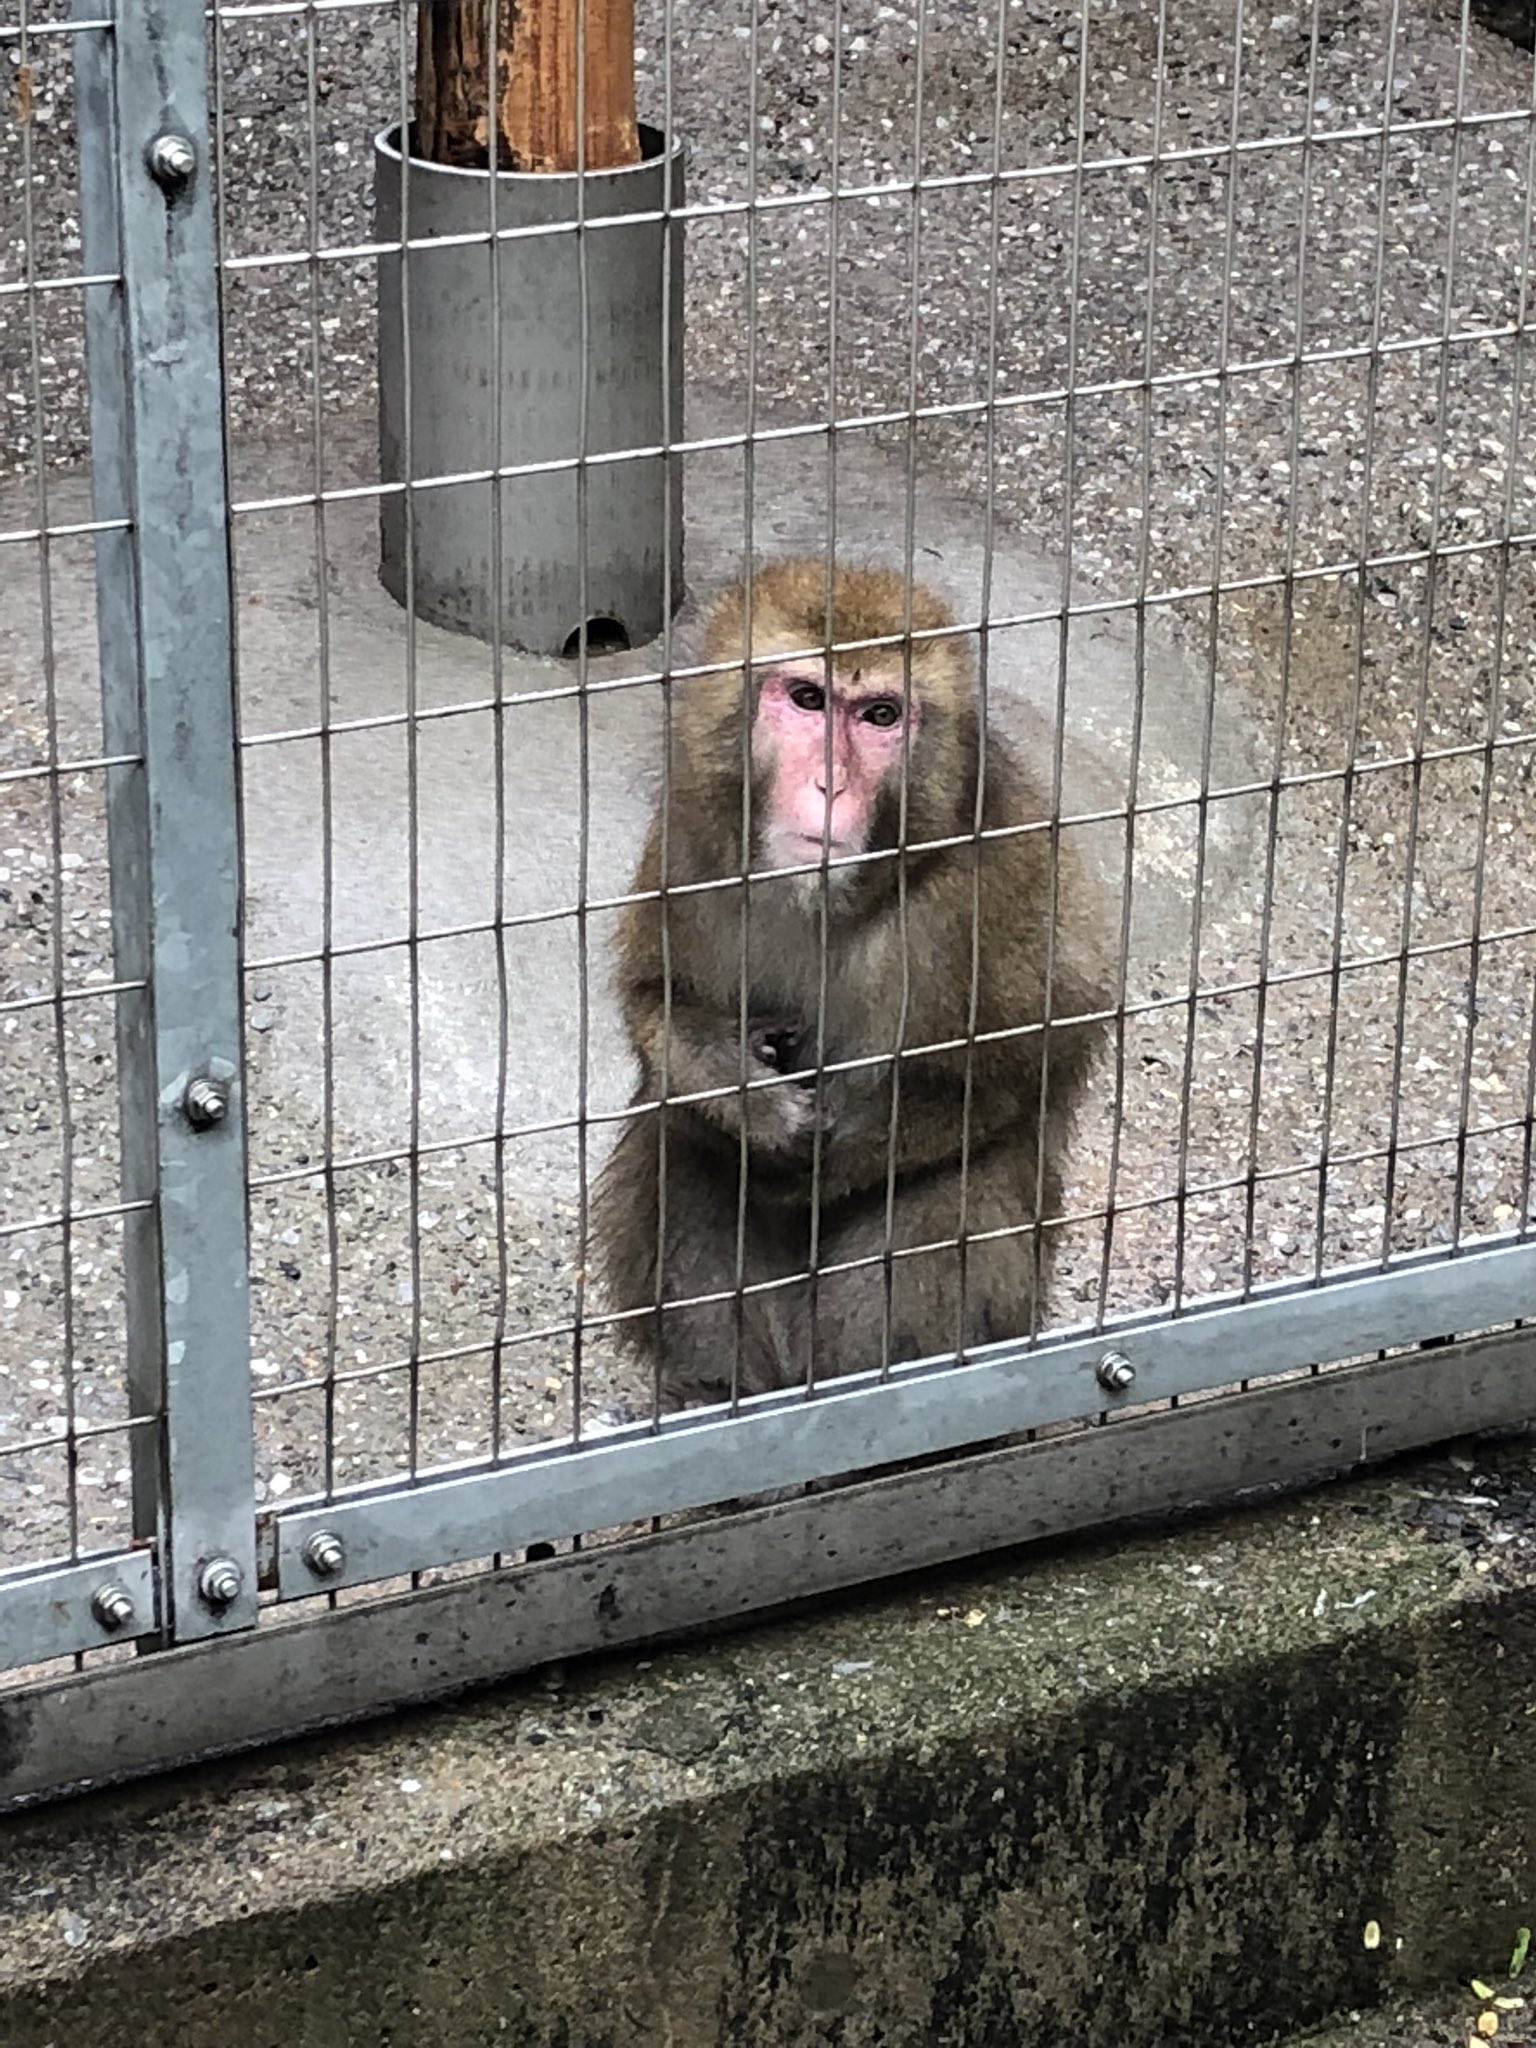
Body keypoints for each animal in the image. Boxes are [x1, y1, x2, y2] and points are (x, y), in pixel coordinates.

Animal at [593, 569, 1114, 1417]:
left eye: (880, 716)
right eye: (807, 698)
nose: (831, 783)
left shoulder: (991, 880)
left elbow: (1026, 1058)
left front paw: (818, 1163)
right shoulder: (692, 844)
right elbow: (655, 1002)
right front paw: (744, 1094)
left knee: (949, 1191)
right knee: (684, 1141)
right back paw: (718, 1390)